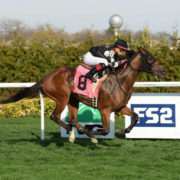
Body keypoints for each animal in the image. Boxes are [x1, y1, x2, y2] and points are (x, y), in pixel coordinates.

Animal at [0, 47, 165, 142]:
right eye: (150, 59)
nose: (162, 71)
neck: (121, 81)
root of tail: (45, 78)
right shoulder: (105, 109)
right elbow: (105, 129)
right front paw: (94, 131)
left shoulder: (120, 107)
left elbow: (136, 116)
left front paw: (125, 130)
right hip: (62, 97)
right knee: (55, 116)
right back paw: (72, 130)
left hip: (73, 99)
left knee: (73, 119)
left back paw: (77, 131)